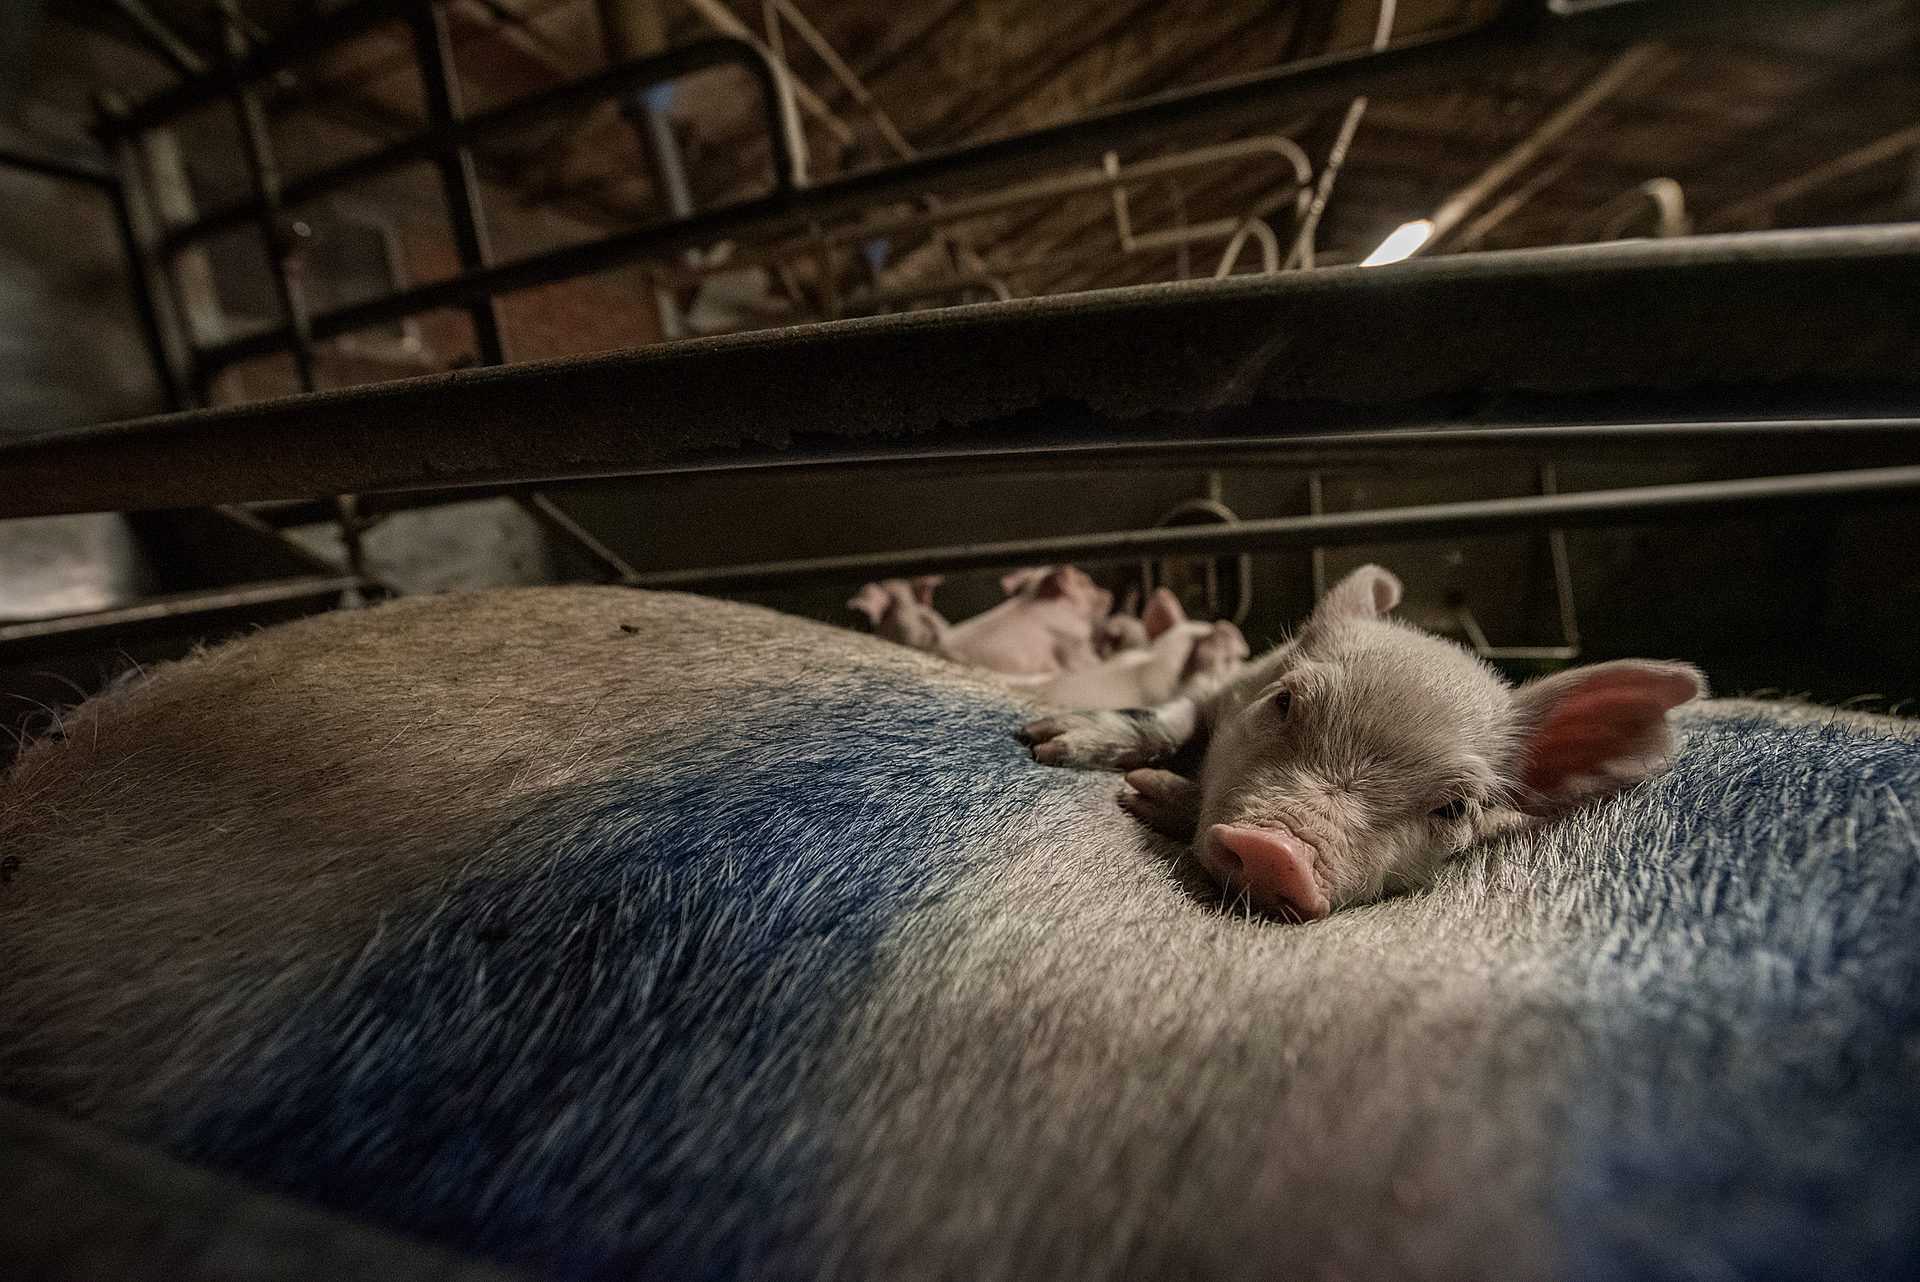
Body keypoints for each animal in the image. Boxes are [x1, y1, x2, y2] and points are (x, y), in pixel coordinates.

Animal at [1021, 564, 1706, 921]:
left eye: (1454, 807)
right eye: (1284, 702)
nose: (1274, 851)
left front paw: (1151, 795)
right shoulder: (1228, 689)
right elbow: (1171, 720)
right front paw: (1048, 745)